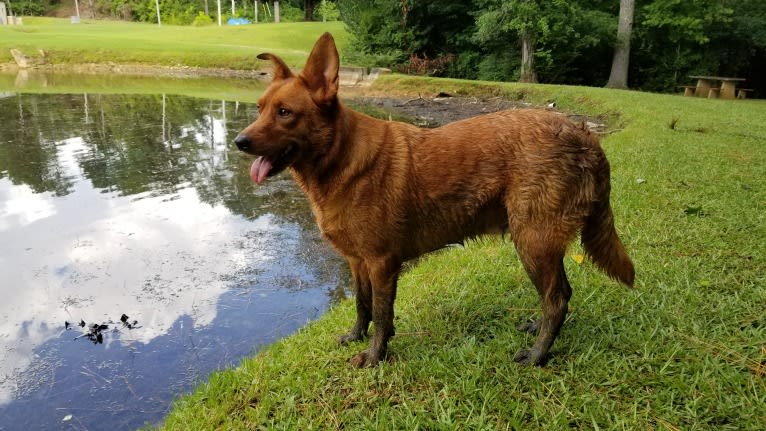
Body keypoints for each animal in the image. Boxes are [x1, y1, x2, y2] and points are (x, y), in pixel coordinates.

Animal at [236, 33, 636, 368]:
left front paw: (375, 356)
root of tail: (583, 133)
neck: (339, 158)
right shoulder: (357, 262)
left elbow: (381, 314)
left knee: (556, 299)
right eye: (259, 108)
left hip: (533, 242)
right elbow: (363, 306)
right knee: (561, 294)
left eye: (284, 113)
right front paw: (356, 337)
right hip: (541, 243)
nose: (239, 141)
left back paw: (538, 355)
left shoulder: (382, 263)